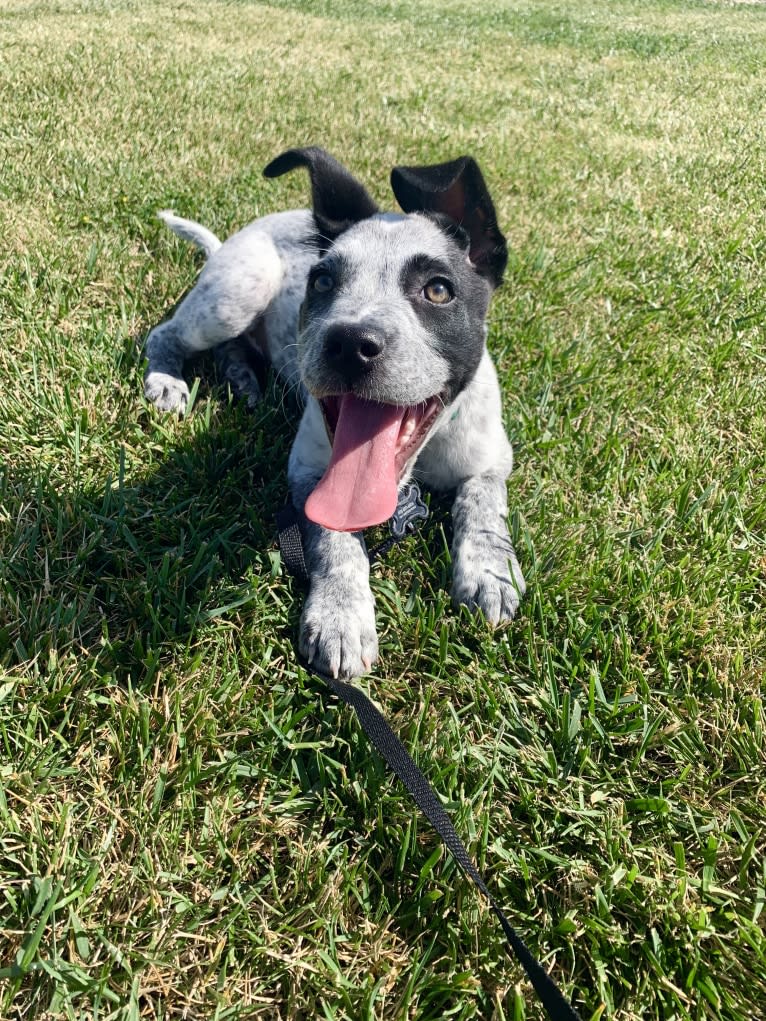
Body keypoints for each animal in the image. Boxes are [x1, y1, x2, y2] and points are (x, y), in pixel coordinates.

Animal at [142, 146, 527, 677]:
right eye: (323, 281)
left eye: (438, 290)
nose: (348, 344)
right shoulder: (307, 471)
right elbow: (336, 542)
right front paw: (340, 615)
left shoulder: (491, 458)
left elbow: (484, 504)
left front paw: (489, 570)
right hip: (238, 291)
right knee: (165, 334)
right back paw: (168, 380)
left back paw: (243, 378)